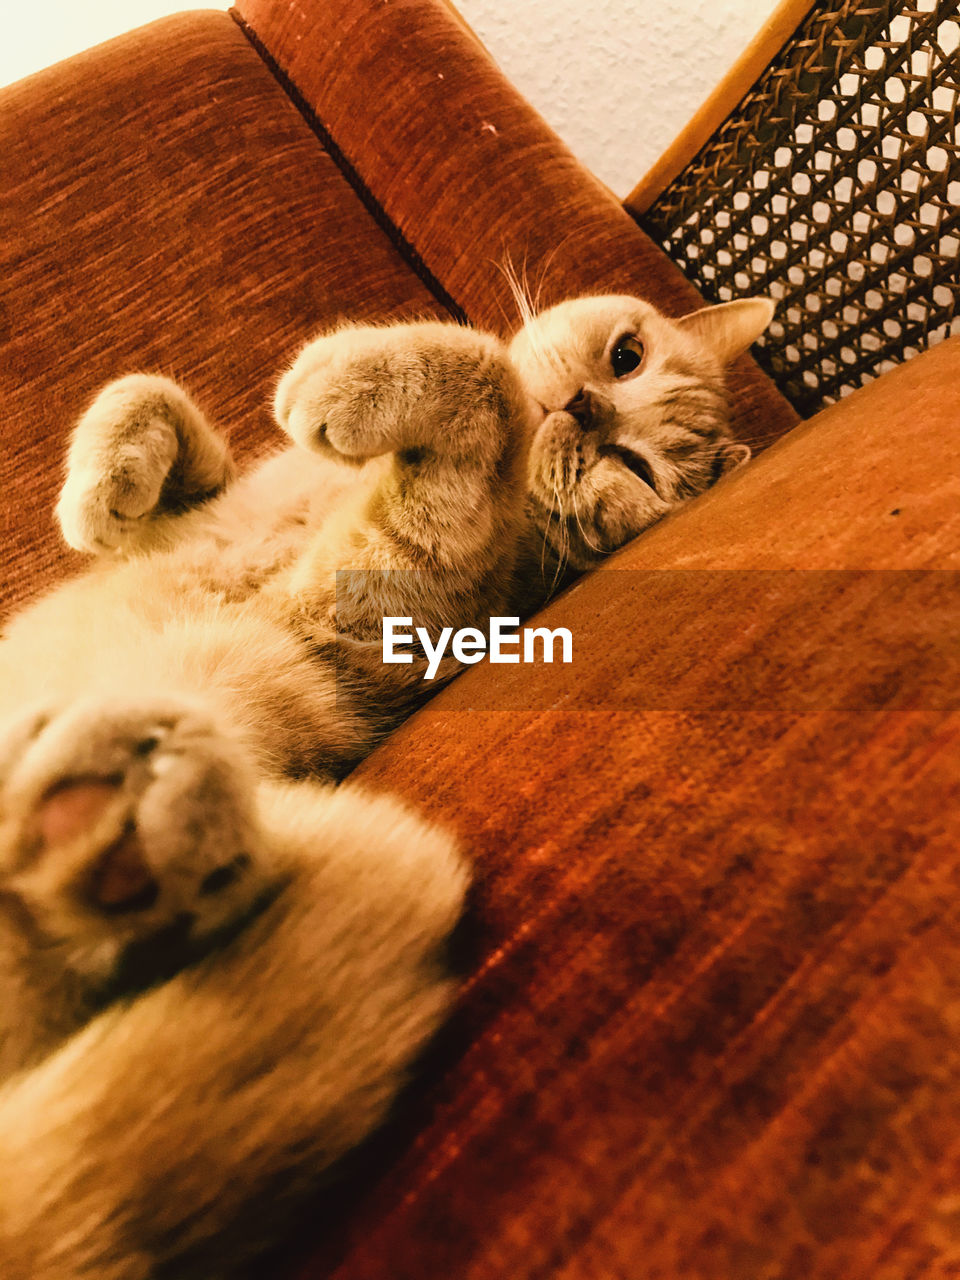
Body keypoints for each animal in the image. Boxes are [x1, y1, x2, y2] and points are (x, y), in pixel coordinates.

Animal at [0, 293, 773, 1280]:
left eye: (633, 467)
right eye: (626, 357)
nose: (589, 409)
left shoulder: (394, 599)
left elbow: (483, 374)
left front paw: (356, 383)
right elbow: (153, 403)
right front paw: (107, 484)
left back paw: (117, 814)